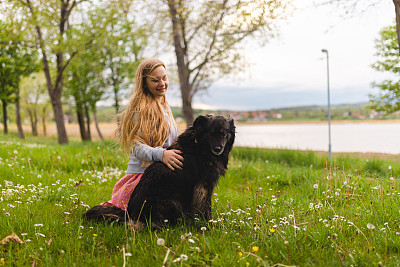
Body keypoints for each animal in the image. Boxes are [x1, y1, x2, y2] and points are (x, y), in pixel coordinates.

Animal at [83, 114, 234, 229]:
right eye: (210, 133)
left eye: (224, 134)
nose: (218, 148)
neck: (200, 144)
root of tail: (130, 214)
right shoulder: (203, 185)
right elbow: (206, 207)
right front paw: (210, 224)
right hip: (172, 202)